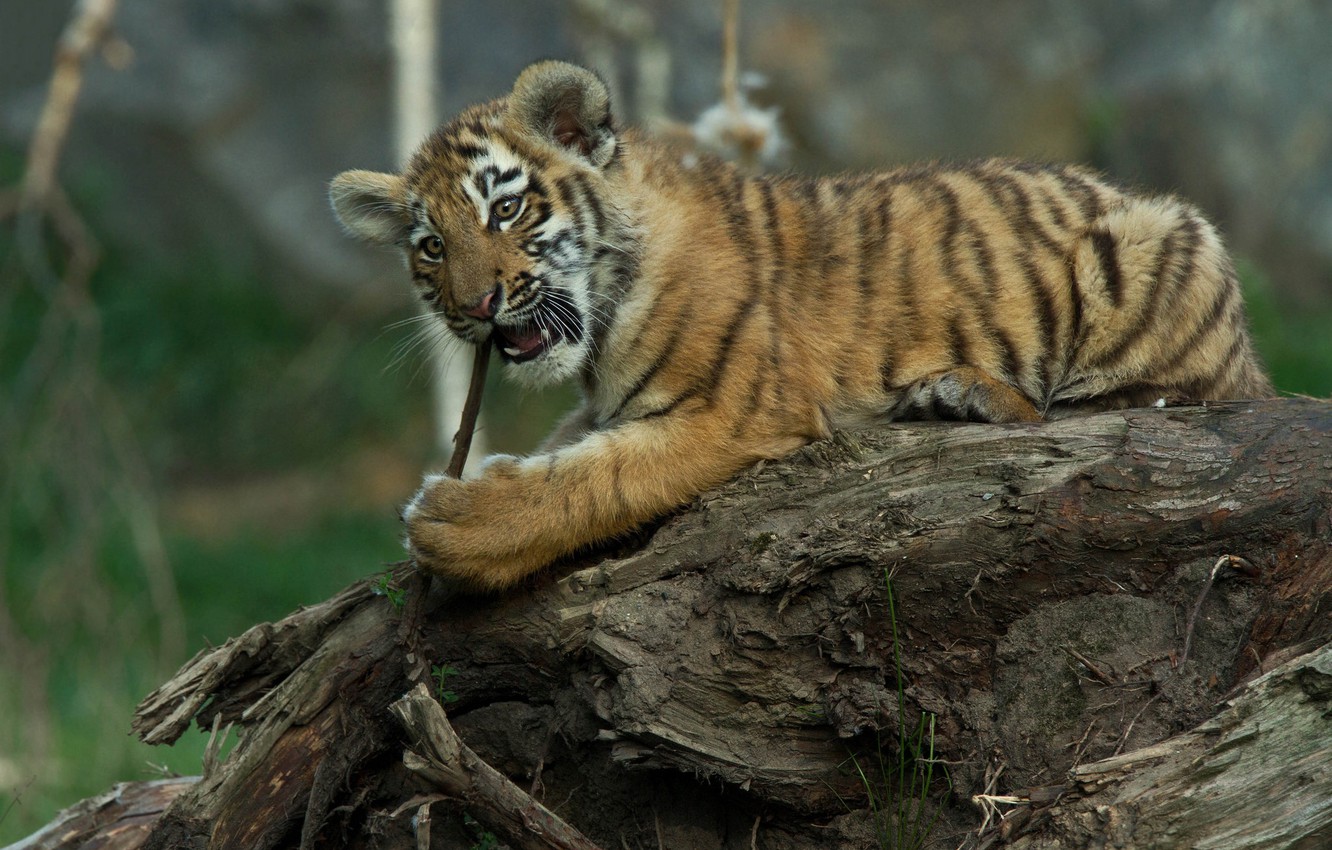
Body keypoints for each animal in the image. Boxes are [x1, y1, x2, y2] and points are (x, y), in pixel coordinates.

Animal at [330, 61, 1272, 590]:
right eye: (429, 246)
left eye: (507, 207)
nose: (473, 307)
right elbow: (567, 451)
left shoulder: (731, 411)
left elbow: (593, 480)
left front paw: (455, 525)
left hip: (1160, 243)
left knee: (1148, 404)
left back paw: (966, 394)